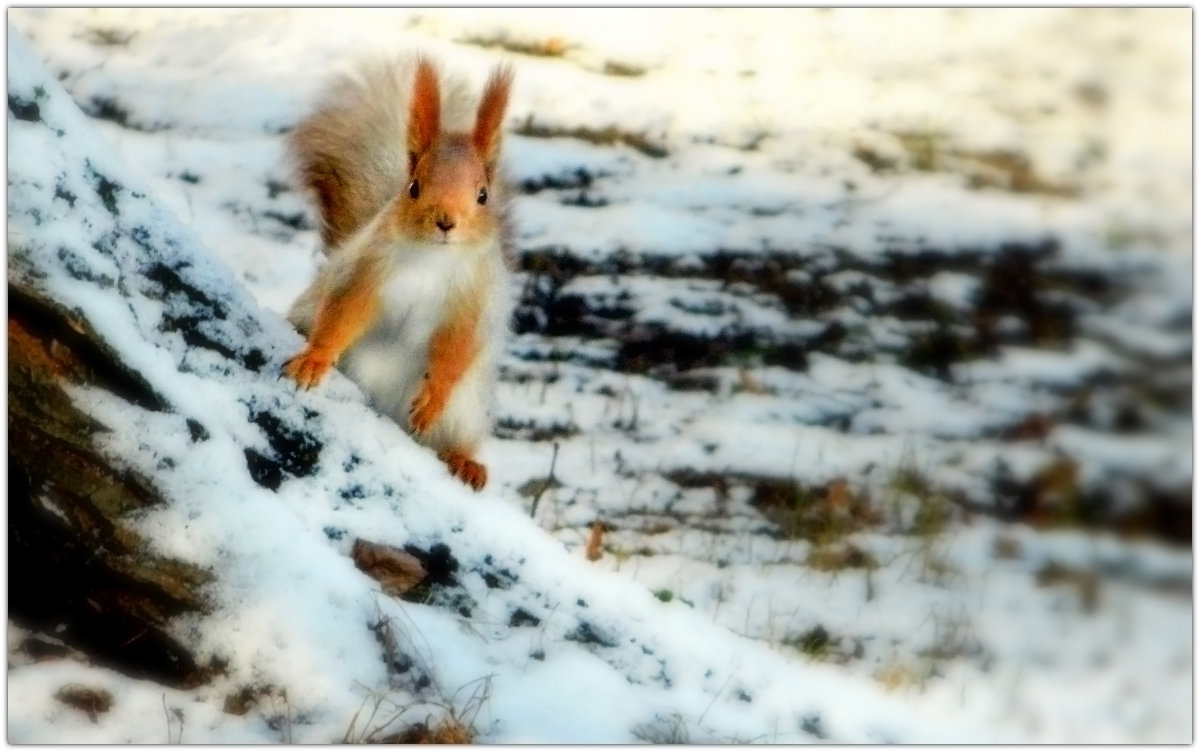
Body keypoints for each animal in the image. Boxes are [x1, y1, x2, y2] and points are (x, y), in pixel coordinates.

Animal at [282, 58, 516, 494]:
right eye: (413, 187)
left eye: (483, 195)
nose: (446, 222)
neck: (432, 260)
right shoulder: (366, 271)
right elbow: (342, 314)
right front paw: (314, 361)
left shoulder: (476, 299)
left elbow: (458, 347)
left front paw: (433, 398)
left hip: (468, 408)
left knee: (453, 438)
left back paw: (464, 461)